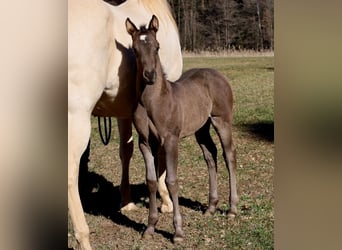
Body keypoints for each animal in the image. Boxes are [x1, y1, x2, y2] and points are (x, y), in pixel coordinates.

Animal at [67, 0, 182, 249]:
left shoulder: (123, 111)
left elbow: (126, 151)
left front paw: (127, 202)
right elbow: (160, 154)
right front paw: (166, 200)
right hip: (76, 117)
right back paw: (83, 237)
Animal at [125, 15, 238, 242]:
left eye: (157, 47)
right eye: (135, 49)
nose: (149, 75)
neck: (153, 102)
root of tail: (219, 75)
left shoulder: (171, 140)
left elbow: (171, 181)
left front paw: (177, 231)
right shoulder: (145, 143)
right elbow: (151, 180)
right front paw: (150, 227)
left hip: (221, 120)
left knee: (229, 155)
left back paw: (232, 209)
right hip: (201, 128)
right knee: (210, 155)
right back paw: (211, 207)